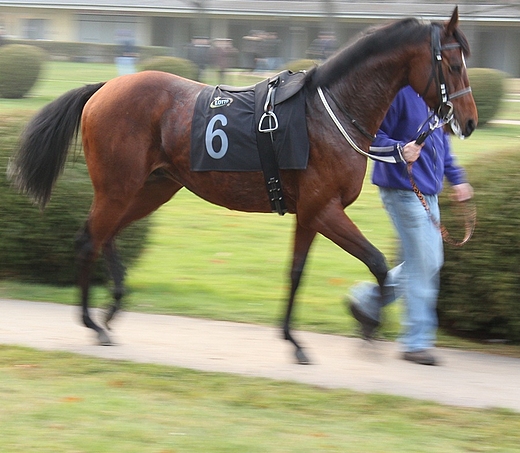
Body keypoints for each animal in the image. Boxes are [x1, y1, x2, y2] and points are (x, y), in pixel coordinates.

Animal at [9, 8, 480, 364]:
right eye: (454, 64)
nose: (470, 121)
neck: (331, 112)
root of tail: (106, 86)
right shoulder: (323, 209)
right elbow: (379, 263)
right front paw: (367, 323)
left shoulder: (310, 214)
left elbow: (296, 272)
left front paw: (295, 340)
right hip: (118, 187)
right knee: (89, 239)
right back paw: (92, 322)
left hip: (152, 188)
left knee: (107, 235)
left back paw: (110, 310)